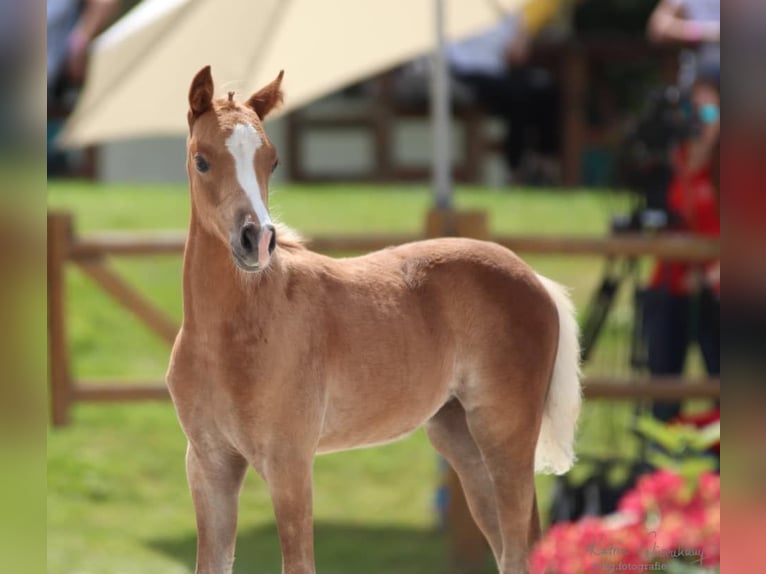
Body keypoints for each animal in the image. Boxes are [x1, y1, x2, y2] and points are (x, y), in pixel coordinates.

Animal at [168, 67, 584, 574]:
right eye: (202, 161)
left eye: (273, 161)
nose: (258, 241)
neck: (226, 337)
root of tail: (534, 278)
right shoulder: (208, 465)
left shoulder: (289, 463)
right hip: (461, 439)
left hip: (505, 434)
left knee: (519, 545)